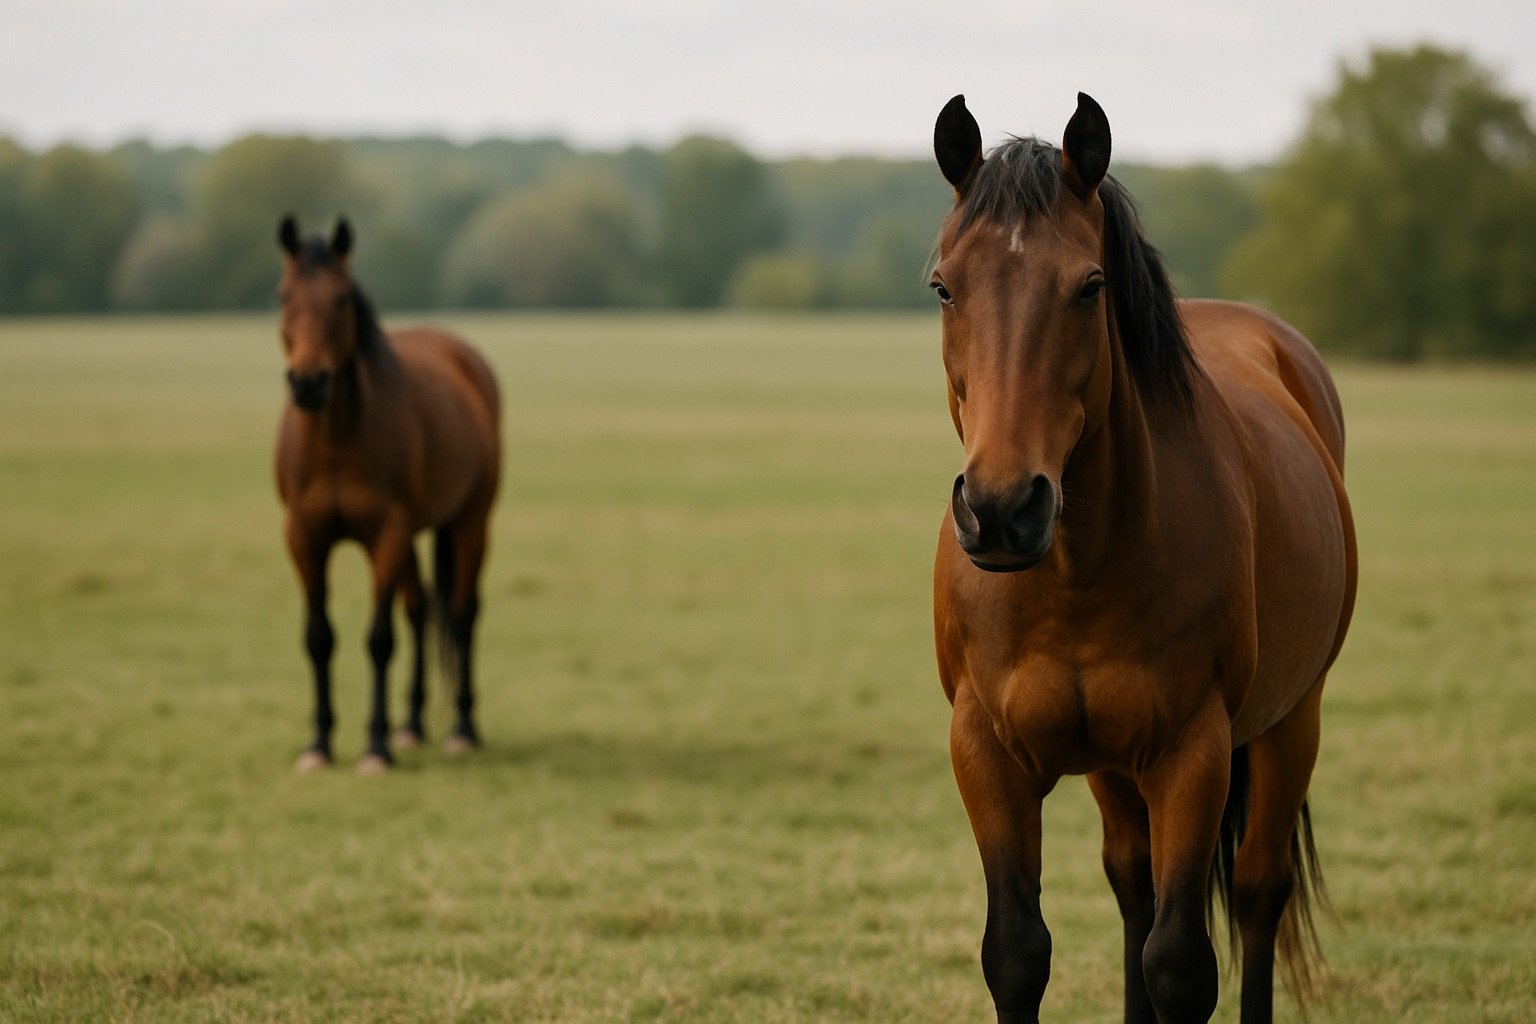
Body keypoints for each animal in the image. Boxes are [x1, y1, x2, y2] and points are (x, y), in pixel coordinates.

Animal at [274, 215, 501, 773]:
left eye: (341, 298)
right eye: (282, 295)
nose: (308, 383)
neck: (337, 440)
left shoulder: (388, 533)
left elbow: (379, 639)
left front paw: (375, 747)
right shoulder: (304, 537)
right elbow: (319, 637)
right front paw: (320, 744)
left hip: (471, 521)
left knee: (461, 612)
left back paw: (462, 728)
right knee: (420, 609)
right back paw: (413, 725)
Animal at [929, 94, 1357, 1024]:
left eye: (1090, 286)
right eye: (944, 286)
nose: (1002, 510)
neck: (1076, 573)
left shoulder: (1191, 754)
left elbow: (1180, 963)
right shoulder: (985, 753)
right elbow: (1017, 952)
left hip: (1291, 722)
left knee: (1258, 893)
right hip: (1112, 769)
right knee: (1132, 884)